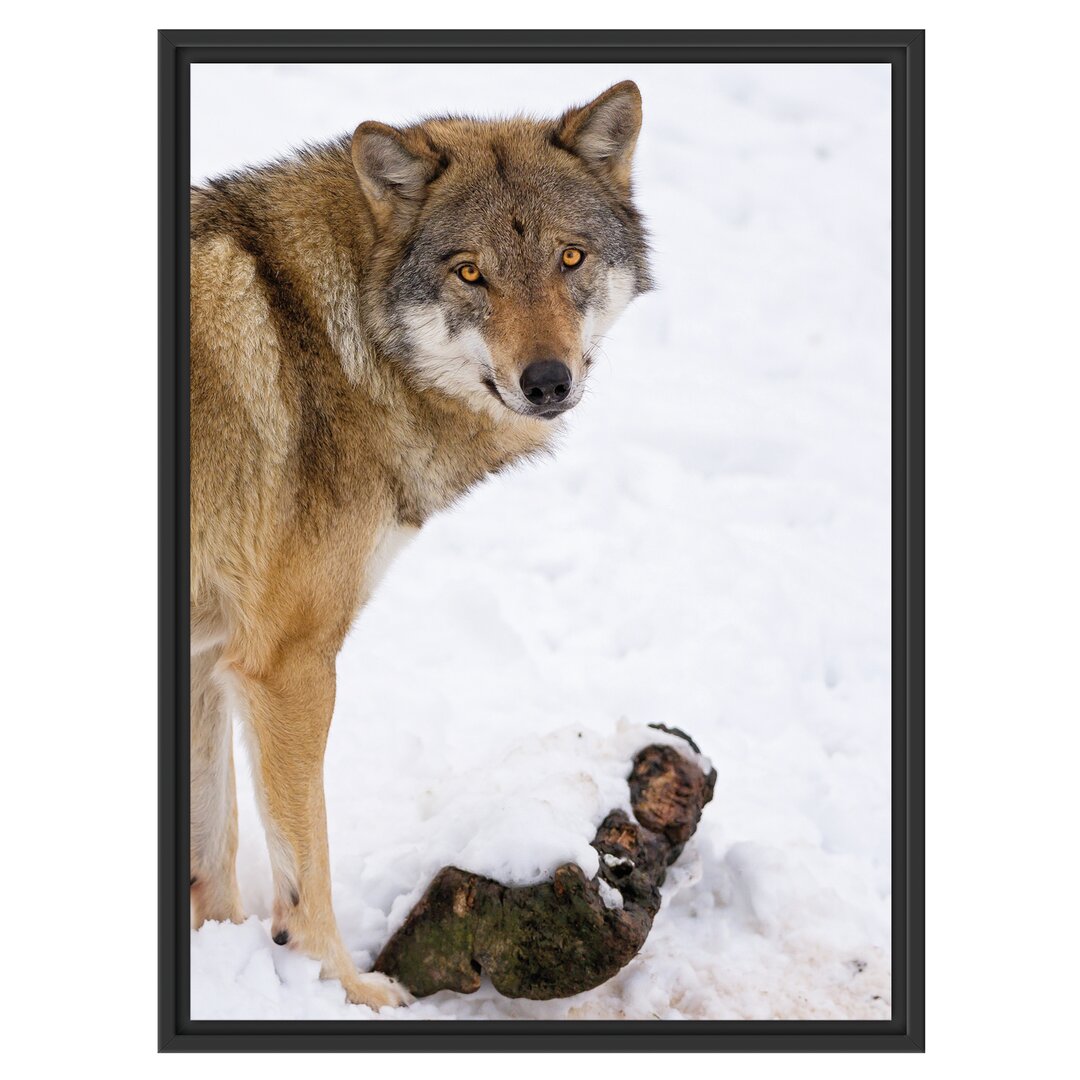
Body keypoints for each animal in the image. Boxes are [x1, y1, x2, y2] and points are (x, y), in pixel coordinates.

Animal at [187, 79, 648, 1006]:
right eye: (470, 272)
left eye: (570, 259)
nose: (548, 382)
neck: (335, 342)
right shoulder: (286, 664)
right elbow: (306, 862)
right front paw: (343, 991)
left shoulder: (209, 655)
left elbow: (211, 853)